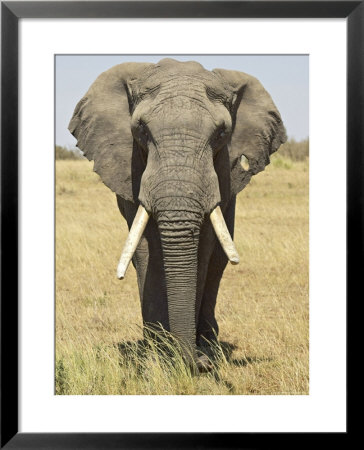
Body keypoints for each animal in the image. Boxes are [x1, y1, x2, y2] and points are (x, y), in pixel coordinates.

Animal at [67, 57, 284, 372]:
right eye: (141, 130)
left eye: (221, 133)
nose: (201, 364)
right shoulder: (132, 167)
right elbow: (145, 247)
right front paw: (158, 355)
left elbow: (204, 247)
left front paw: (191, 353)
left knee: (218, 261)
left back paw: (208, 342)